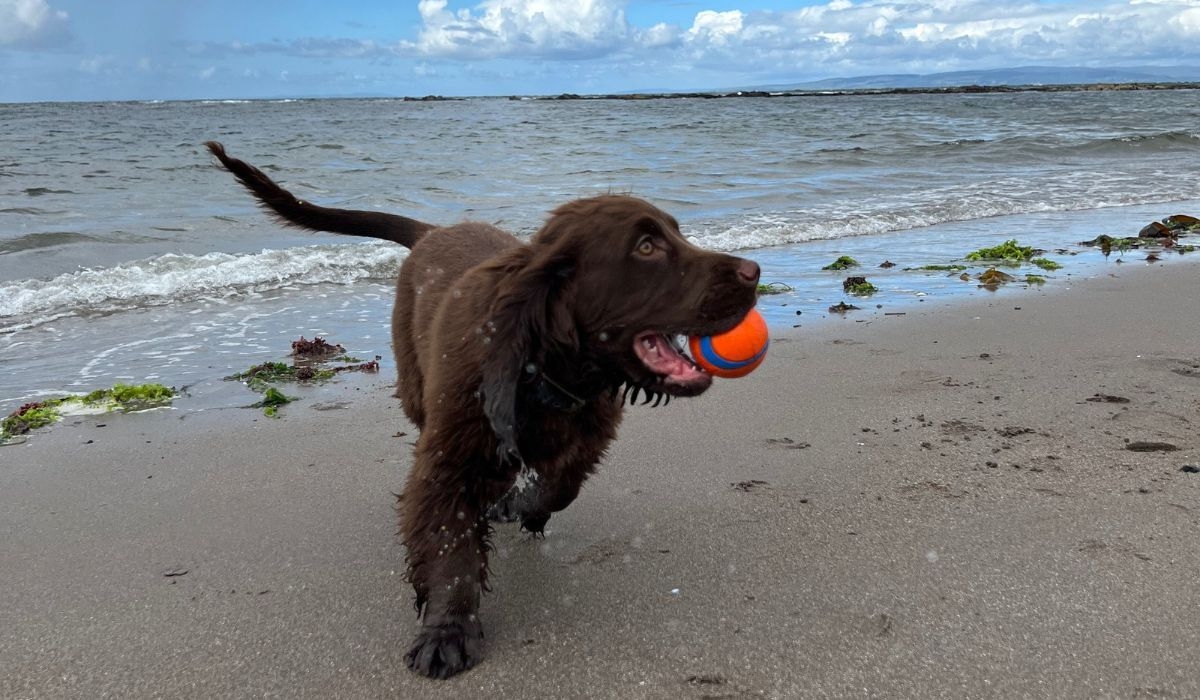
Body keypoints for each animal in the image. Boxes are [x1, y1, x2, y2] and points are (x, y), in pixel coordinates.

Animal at [206, 142, 758, 677]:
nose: (754, 273)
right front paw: (446, 632)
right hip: (414, 386)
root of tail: (433, 231)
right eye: (646, 247)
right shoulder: (447, 459)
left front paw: (520, 507)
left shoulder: (590, 433)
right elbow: (450, 544)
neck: (542, 372)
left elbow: (560, 486)